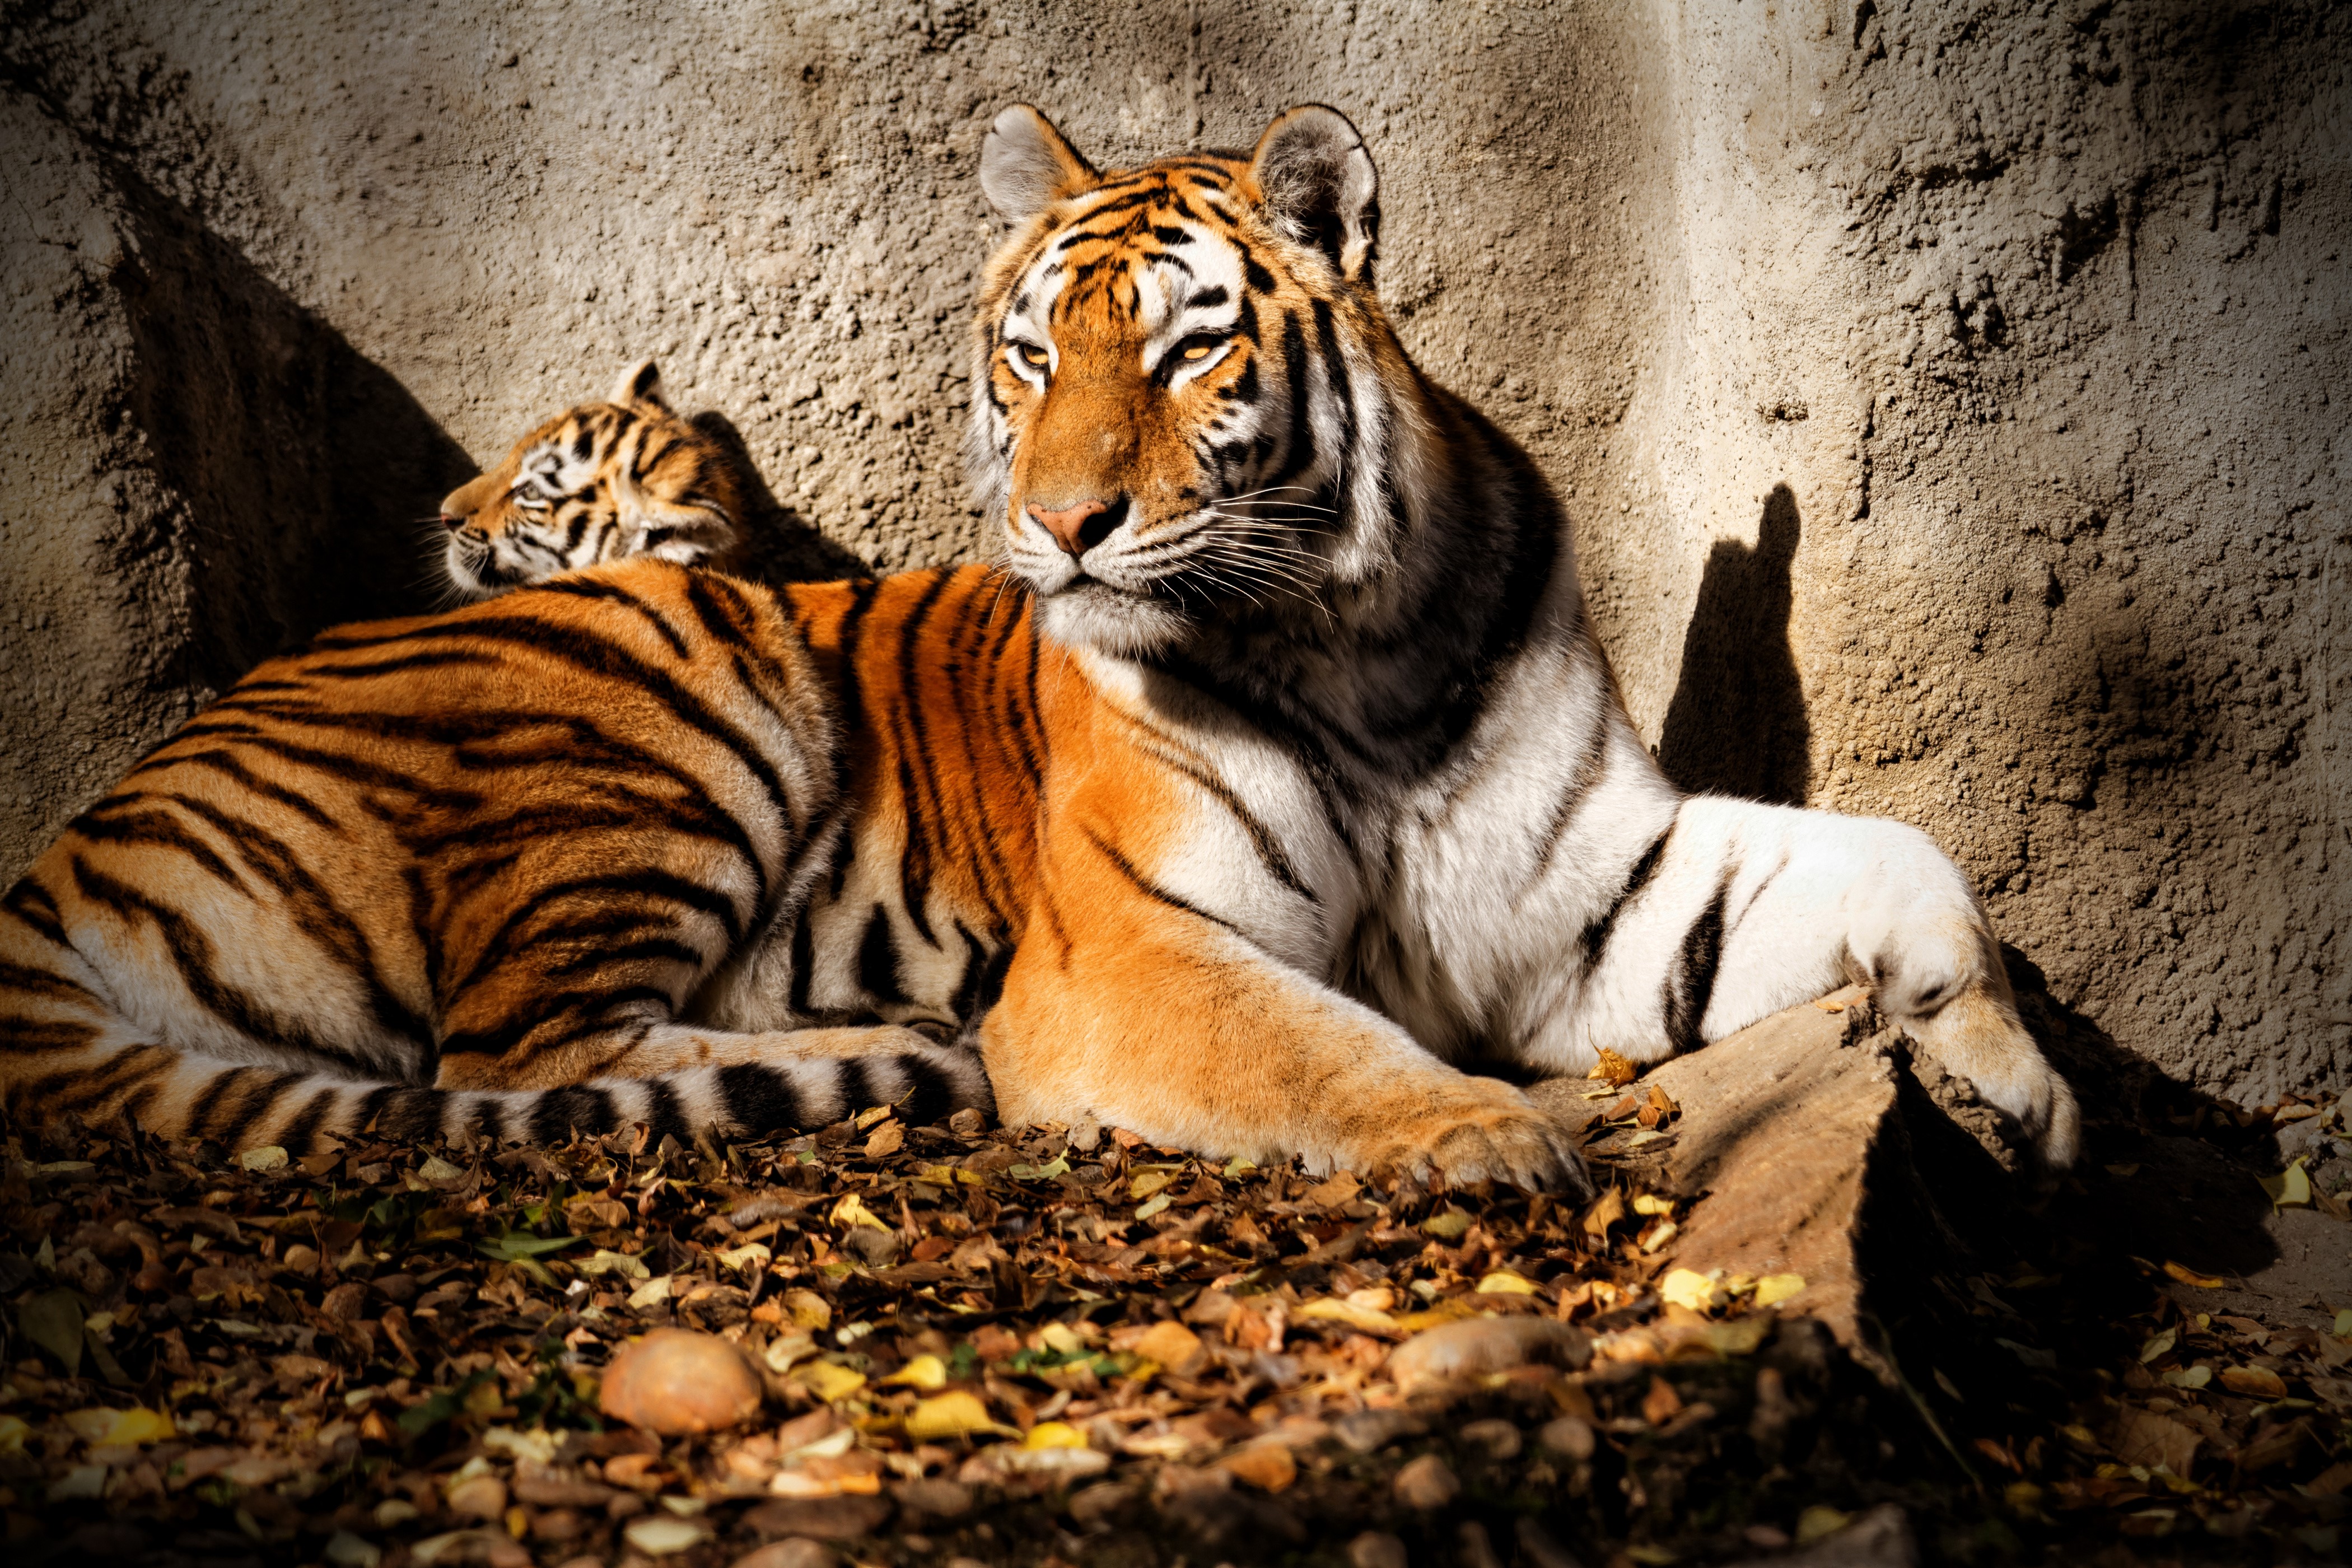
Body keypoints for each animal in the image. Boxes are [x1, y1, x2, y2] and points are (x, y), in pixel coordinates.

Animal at [0, 103, 2080, 1190]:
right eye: (1028, 354)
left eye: (1181, 351)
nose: (1063, 522)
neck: (1363, 641)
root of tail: (71, 843)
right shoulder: (1136, 951)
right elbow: (1325, 1046)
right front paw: (1480, 1137)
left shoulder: (1584, 892)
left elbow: (1906, 862)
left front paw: (2007, 1079)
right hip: (673, 682)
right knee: (509, 1060)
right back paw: (894, 1042)